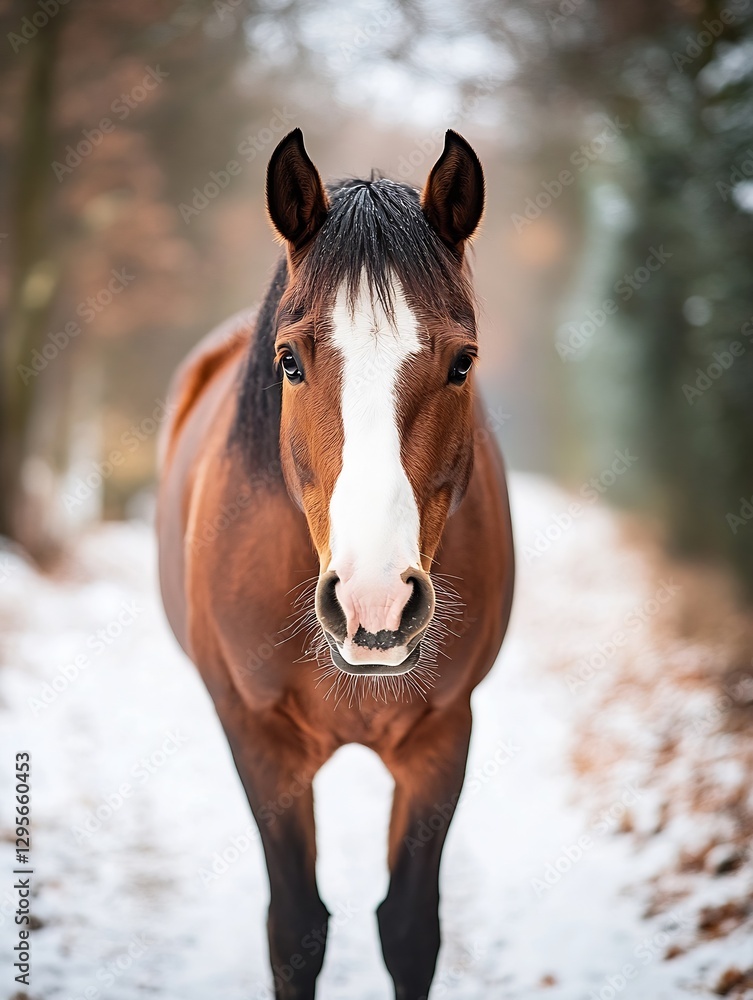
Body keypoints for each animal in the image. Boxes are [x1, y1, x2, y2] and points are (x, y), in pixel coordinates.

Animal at [157, 127, 514, 1000]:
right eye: (288, 360)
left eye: (462, 362)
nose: (374, 603)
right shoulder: (258, 740)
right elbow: (298, 929)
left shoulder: (442, 734)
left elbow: (409, 929)